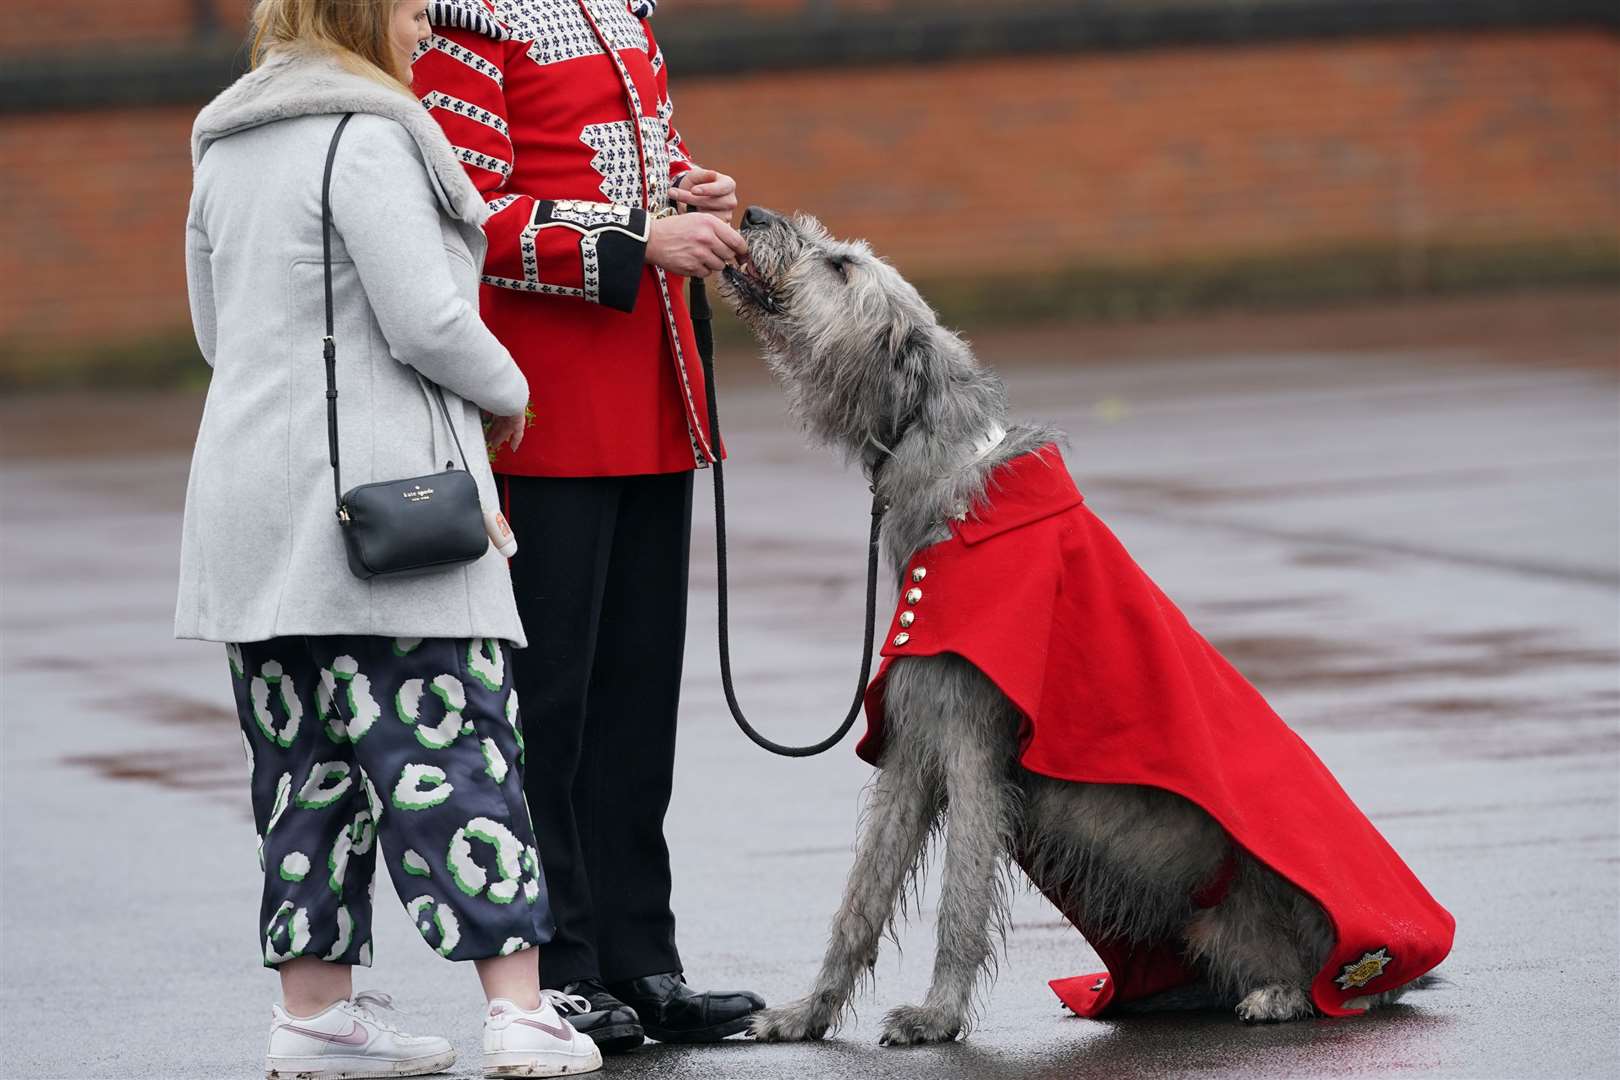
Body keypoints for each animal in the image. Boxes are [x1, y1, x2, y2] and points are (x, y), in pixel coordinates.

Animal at [716, 207, 1438, 1042]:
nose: (753, 214)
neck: (954, 502)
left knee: (1337, 983)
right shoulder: (912, 747)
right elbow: (862, 896)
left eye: (840, 266)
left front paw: (937, 1016)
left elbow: (960, 898)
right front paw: (807, 1013)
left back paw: (1285, 993)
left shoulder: (973, 744)